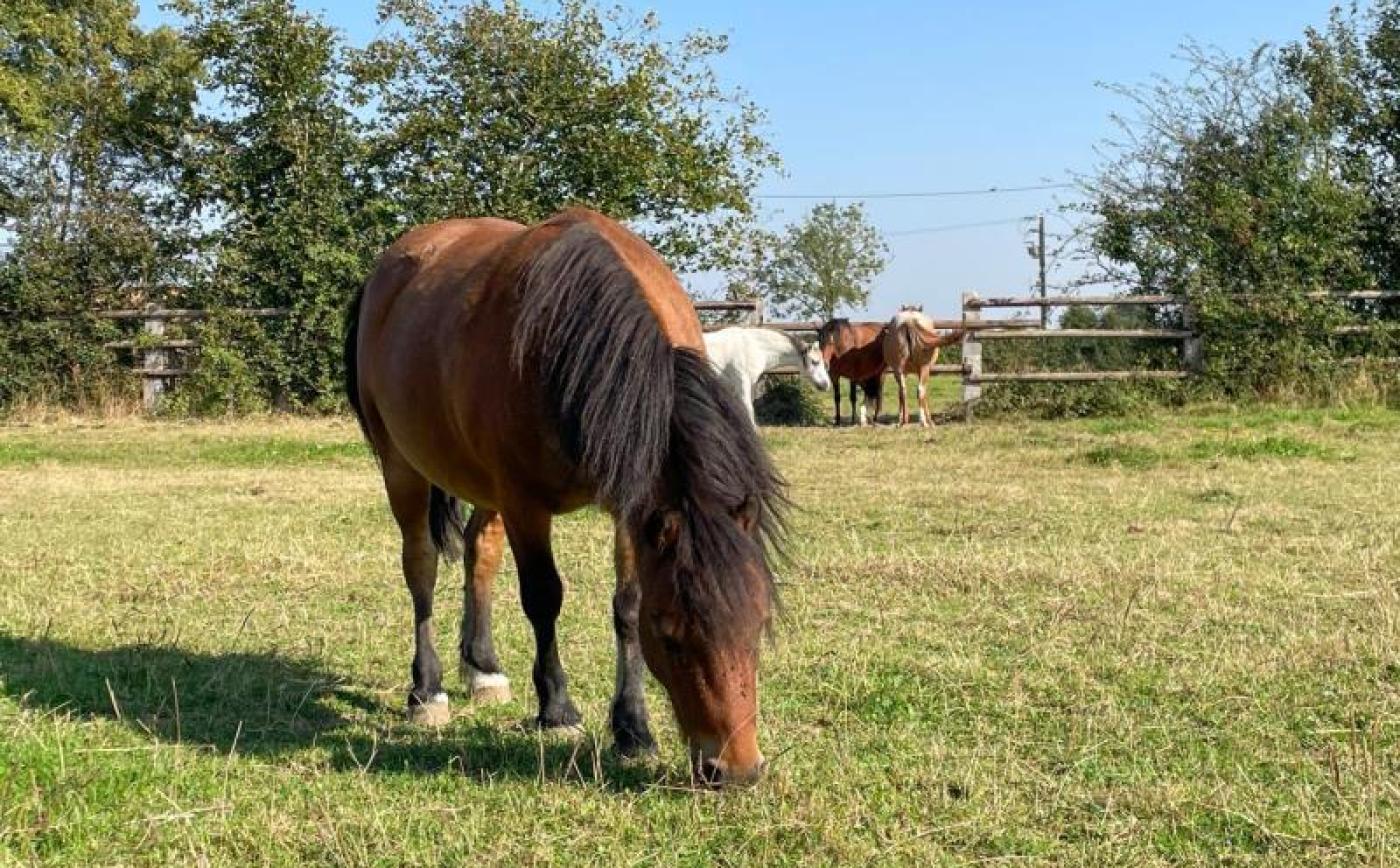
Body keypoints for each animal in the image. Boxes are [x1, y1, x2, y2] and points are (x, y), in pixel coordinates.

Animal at [343, 208, 784, 784]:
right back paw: (428, 690)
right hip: (403, 468)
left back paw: (483, 669)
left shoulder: (629, 506)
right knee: (420, 566)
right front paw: (557, 711)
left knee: (479, 554)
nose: (736, 768)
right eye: (670, 635)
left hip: (484, 489)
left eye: (756, 626)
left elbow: (626, 604)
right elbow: (543, 597)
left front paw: (633, 729)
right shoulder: (525, 503)